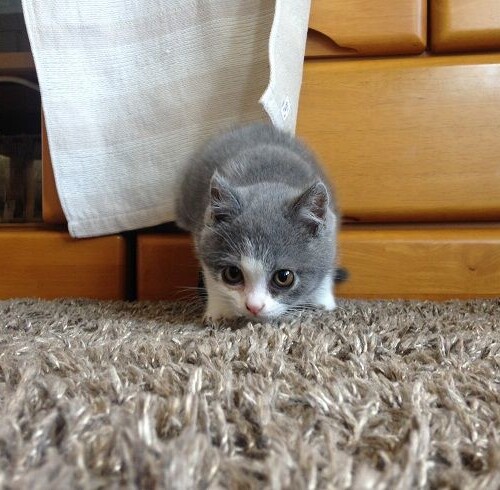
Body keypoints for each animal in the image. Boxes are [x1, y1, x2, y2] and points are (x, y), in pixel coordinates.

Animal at [175, 123, 339, 322]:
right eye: (232, 273)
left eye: (284, 277)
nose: (254, 307)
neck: (268, 180)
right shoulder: (202, 233)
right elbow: (210, 275)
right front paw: (219, 310)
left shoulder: (330, 226)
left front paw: (323, 301)